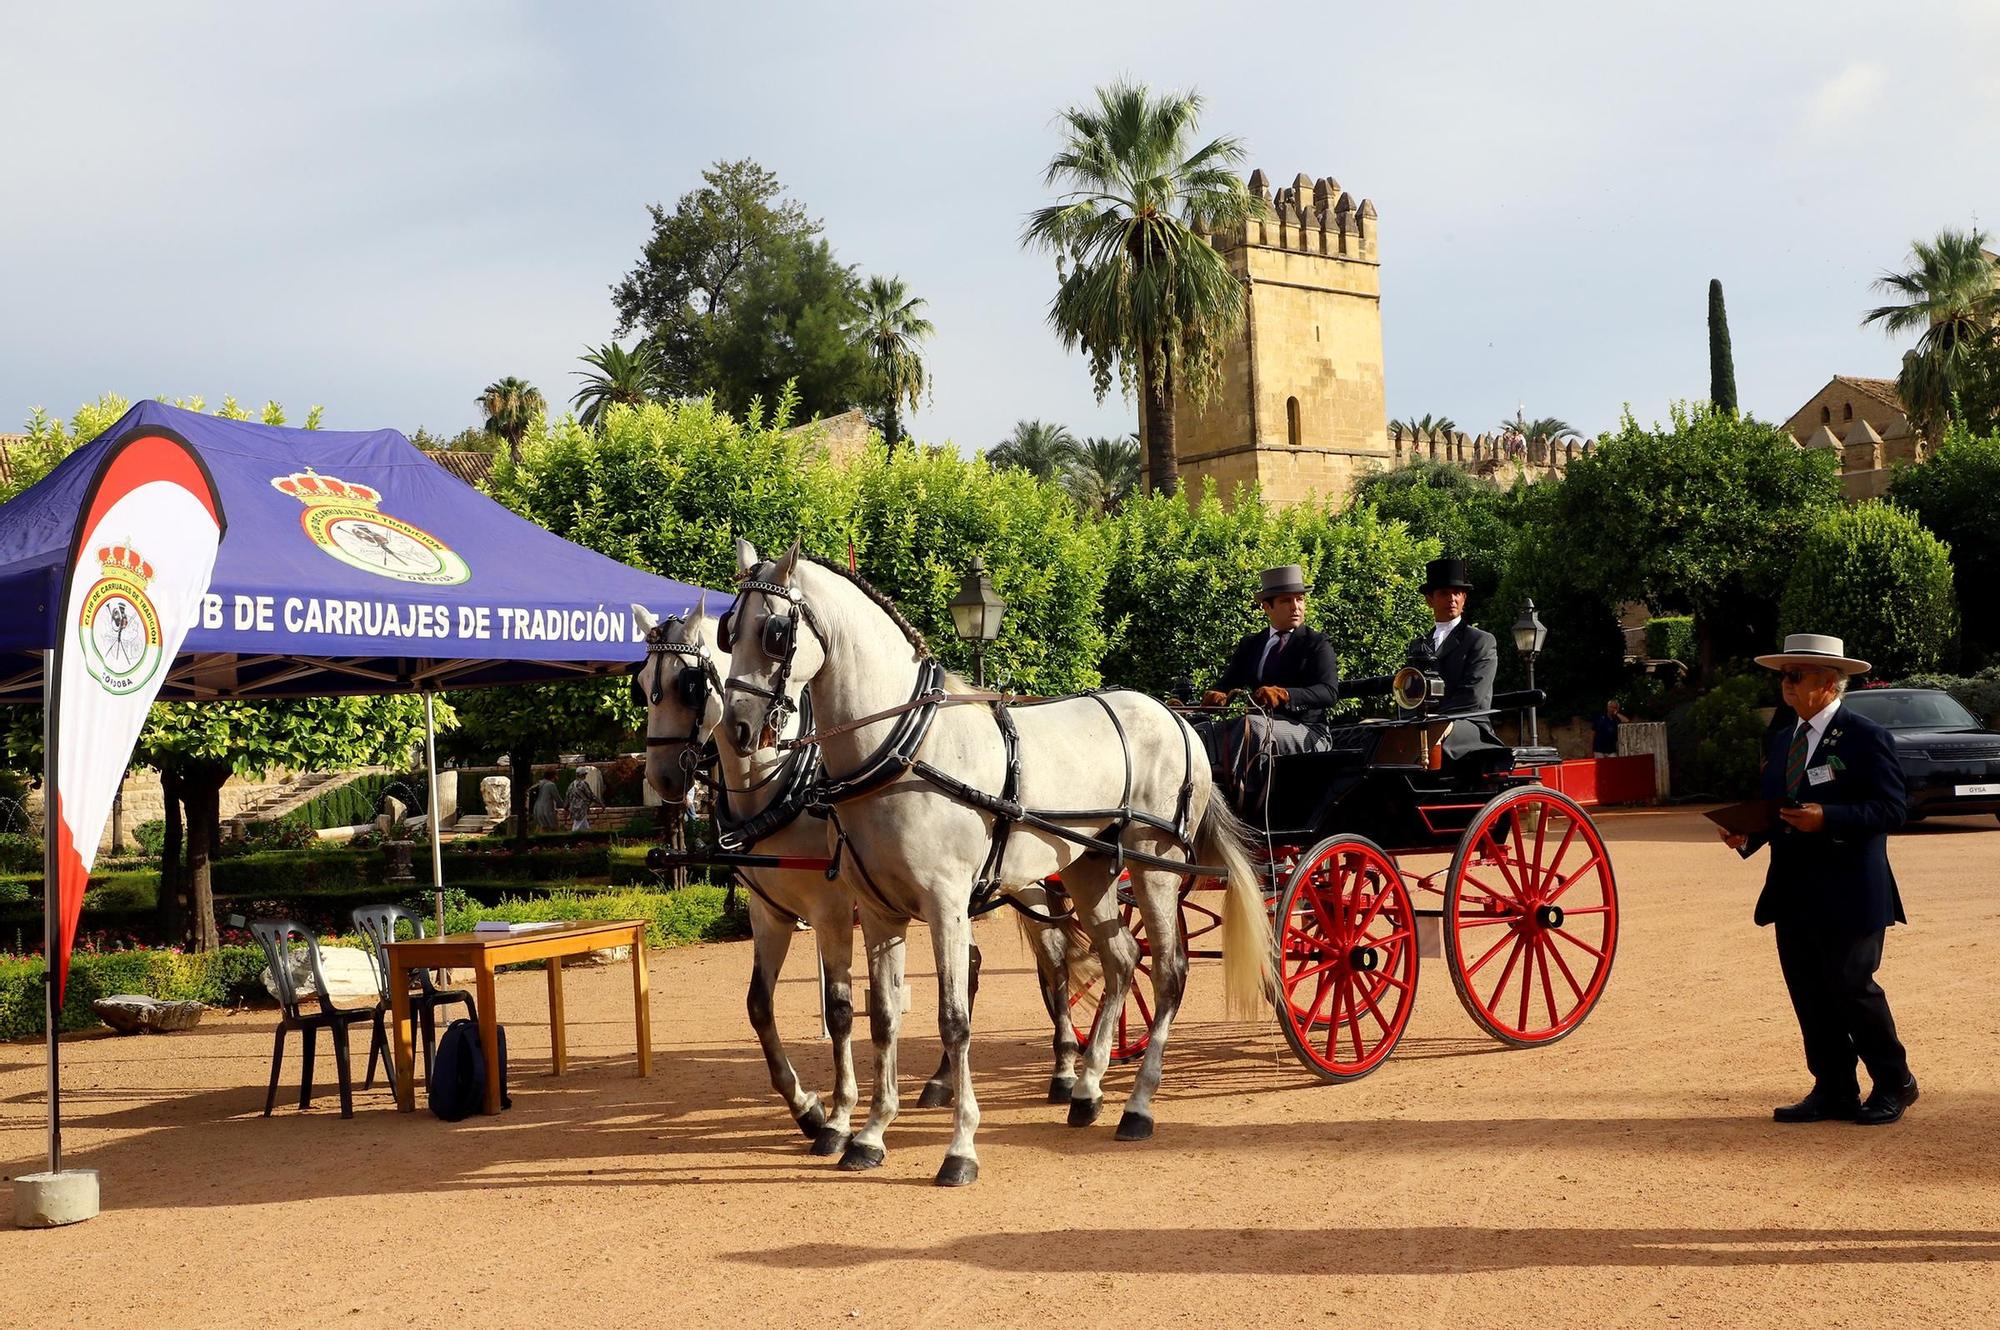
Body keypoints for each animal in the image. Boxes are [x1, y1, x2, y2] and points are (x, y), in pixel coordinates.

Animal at [632, 600, 1088, 1160]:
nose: (662, 778)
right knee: (979, 967)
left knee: (1054, 962)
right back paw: (941, 1082)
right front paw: (805, 1107)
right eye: (642, 683)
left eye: (691, 684)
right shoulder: (771, 913)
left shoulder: (830, 910)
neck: (782, 784)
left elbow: (842, 1009)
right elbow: (760, 1005)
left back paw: (1065, 1071)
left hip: (1028, 882)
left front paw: (837, 1117)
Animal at [724, 540, 1280, 1184]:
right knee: (1121, 959)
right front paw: (869, 1133)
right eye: (728, 629)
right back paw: (1087, 1088)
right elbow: (883, 1017)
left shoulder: (944, 904)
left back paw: (1137, 1105)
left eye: (774, 632)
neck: (904, 749)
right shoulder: (880, 912)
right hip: (1090, 868)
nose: (737, 728)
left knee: (1167, 971)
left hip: (1156, 865)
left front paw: (960, 1146)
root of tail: (1177, 718)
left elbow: (953, 1019)